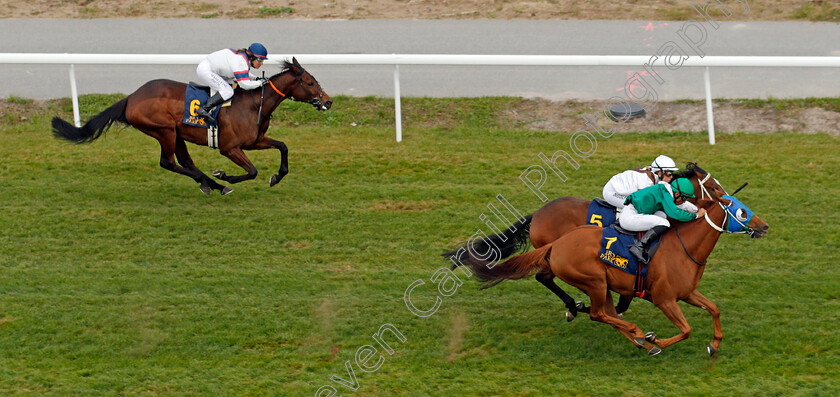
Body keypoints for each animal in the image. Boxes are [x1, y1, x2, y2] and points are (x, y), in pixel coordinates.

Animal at [50, 57, 334, 195]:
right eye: (310, 82)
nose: (328, 101)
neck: (254, 104)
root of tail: (131, 97)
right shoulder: (230, 148)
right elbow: (252, 171)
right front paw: (225, 175)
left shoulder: (253, 142)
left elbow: (283, 146)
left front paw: (277, 176)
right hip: (163, 130)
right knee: (168, 162)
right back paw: (215, 183)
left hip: (176, 133)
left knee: (185, 161)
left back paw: (210, 184)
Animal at [446, 162, 728, 320]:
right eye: (715, 187)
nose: (727, 200)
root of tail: (537, 215)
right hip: (552, 252)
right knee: (543, 277)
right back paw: (573, 307)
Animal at [456, 181, 772, 354]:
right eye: (741, 210)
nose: (764, 226)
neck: (686, 247)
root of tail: (558, 243)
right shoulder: (665, 299)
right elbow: (685, 329)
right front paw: (657, 340)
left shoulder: (686, 293)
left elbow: (714, 309)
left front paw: (714, 344)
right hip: (594, 281)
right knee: (597, 312)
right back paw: (634, 332)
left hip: (602, 284)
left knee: (605, 313)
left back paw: (634, 337)